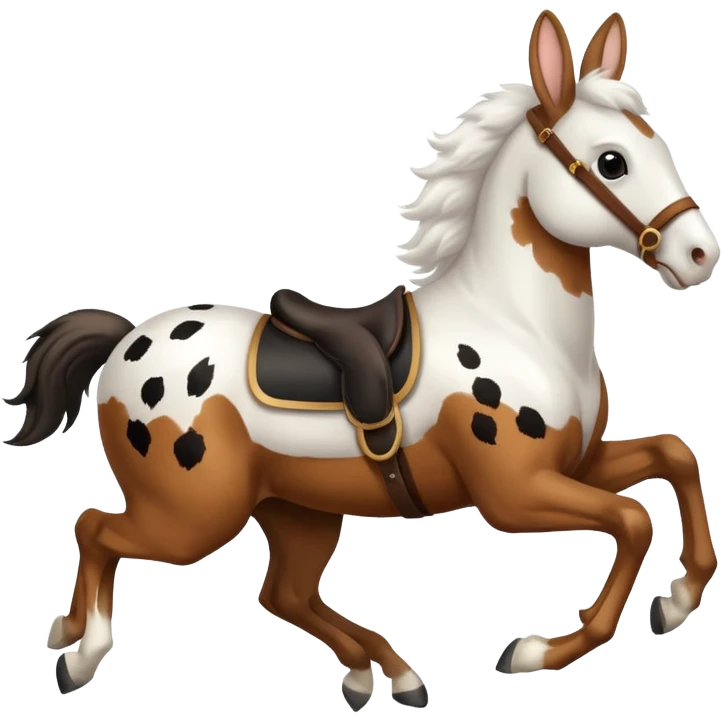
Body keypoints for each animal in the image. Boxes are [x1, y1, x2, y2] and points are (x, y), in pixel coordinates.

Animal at [4, 9, 719, 708]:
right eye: (612, 161)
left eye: (658, 140)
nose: (699, 256)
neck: (515, 324)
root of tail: (126, 338)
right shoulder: (515, 494)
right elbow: (632, 520)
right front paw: (537, 650)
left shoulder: (578, 466)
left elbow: (674, 457)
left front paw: (678, 599)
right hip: (191, 518)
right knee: (97, 527)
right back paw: (78, 649)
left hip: (296, 510)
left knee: (283, 593)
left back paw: (385, 673)